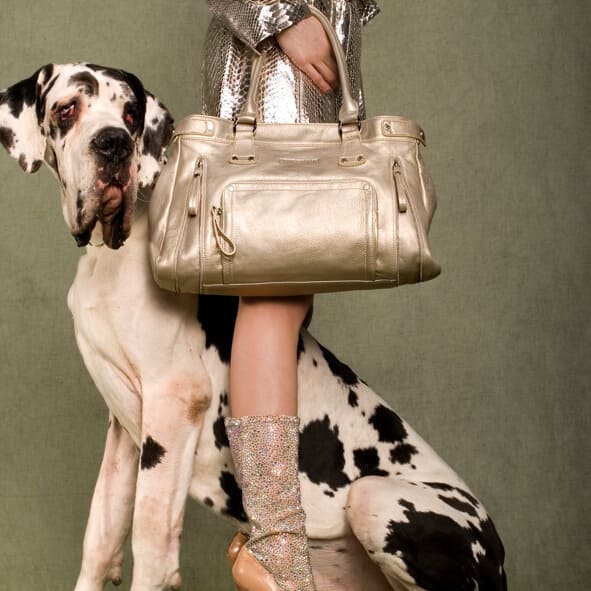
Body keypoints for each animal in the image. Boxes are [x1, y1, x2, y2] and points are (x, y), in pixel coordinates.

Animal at [0, 64, 507, 591]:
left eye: (131, 114)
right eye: (67, 109)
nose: (114, 144)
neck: (109, 256)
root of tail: (501, 558)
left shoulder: (174, 404)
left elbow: (151, 543)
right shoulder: (124, 428)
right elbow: (100, 535)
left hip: (375, 497)